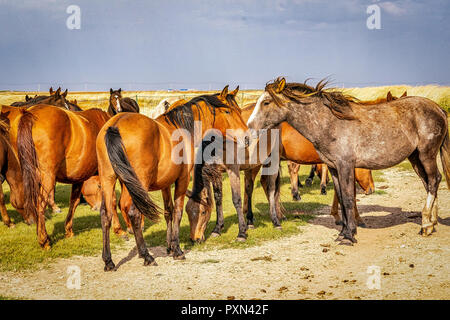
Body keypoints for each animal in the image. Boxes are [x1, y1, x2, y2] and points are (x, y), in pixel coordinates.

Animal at [14, 105, 112, 250]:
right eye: (99, 186)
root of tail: (30, 114)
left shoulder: (79, 179)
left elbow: (74, 202)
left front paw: (68, 230)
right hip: (47, 178)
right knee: (40, 204)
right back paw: (44, 241)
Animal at [96, 85, 248, 270]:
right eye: (227, 111)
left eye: (238, 110)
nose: (247, 137)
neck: (183, 128)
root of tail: (115, 125)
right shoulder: (182, 180)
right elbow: (177, 211)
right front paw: (176, 249)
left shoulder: (165, 184)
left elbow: (168, 211)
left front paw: (169, 246)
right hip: (137, 184)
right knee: (134, 214)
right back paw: (146, 255)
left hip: (109, 180)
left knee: (106, 215)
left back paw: (108, 260)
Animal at [248, 77, 448, 242]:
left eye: (266, 102)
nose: (249, 128)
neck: (331, 123)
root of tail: (438, 108)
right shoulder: (334, 168)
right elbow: (343, 199)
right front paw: (343, 232)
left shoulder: (345, 166)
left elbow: (349, 198)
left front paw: (350, 234)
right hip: (415, 158)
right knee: (428, 182)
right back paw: (431, 223)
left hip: (426, 154)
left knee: (434, 180)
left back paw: (426, 224)